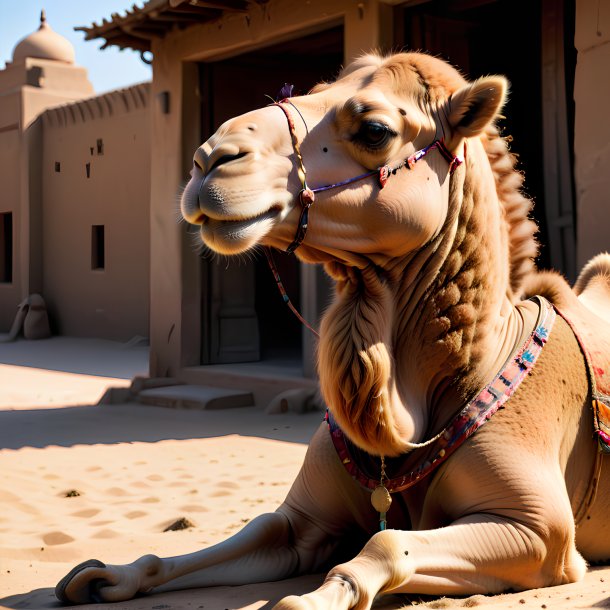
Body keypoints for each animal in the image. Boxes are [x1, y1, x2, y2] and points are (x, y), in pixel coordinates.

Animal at [54, 53, 604, 608]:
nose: (210, 160)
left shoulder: (541, 534)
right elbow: (262, 527)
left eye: (375, 129)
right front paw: (104, 575)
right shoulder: (307, 522)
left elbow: (385, 542)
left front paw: (307, 600)